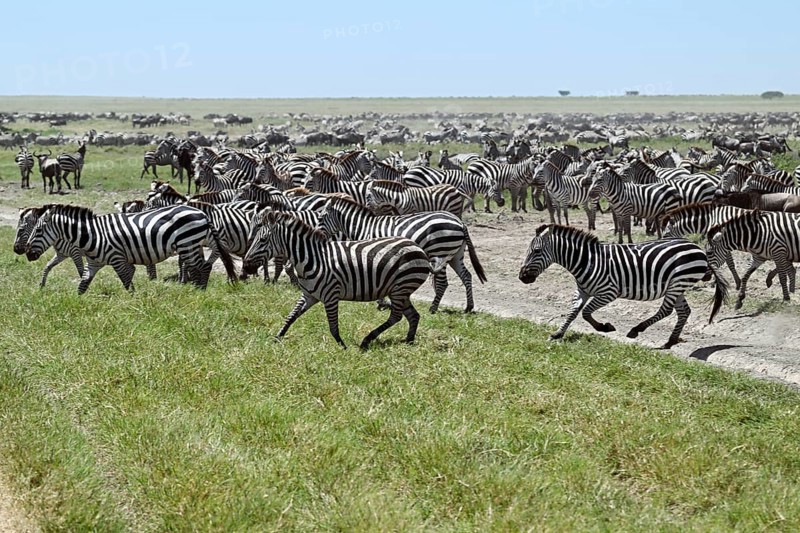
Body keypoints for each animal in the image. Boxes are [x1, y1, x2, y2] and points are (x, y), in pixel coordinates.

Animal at [24, 204, 237, 294]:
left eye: (38, 230)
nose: (27, 254)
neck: (92, 235)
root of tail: (202, 212)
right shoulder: (93, 264)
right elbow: (82, 286)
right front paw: (77, 305)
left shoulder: (117, 258)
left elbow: (127, 281)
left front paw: (133, 301)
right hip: (192, 245)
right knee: (201, 267)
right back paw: (197, 289)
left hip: (188, 244)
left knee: (203, 267)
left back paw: (200, 292)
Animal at [242, 211, 431, 349]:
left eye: (263, 240)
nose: (245, 266)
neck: (312, 259)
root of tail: (417, 247)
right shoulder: (309, 295)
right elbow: (290, 317)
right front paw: (277, 338)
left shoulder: (331, 296)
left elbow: (333, 326)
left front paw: (342, 346)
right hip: (400, 290)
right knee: (413, 315)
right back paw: (408, 341)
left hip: (401, 287)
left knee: (396, 317)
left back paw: (367, 340)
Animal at [315, 196, 487, 313]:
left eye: (321, 217)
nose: (316, 235)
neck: (364, 227)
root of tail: (460, 222)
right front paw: (382, 302)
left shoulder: (373, 252)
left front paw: (381, 302)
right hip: (455, 255)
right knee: (466, 276)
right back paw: (468, 307)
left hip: (441, 251)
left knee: (443, 283)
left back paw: (433, 308)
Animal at [519, 224, 727, 349]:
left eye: (536, 251)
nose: (522, 277)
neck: (586, 261)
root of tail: (697, 247)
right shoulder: (582, 291)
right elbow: (572, 313)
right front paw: (558, 334)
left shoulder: (608, 292)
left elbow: (586, 313)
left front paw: (604, 327)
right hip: (677, 286)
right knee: (684, 311)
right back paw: (670, 341)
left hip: (678, 283)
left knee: (666, 310)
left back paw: (637, 330)